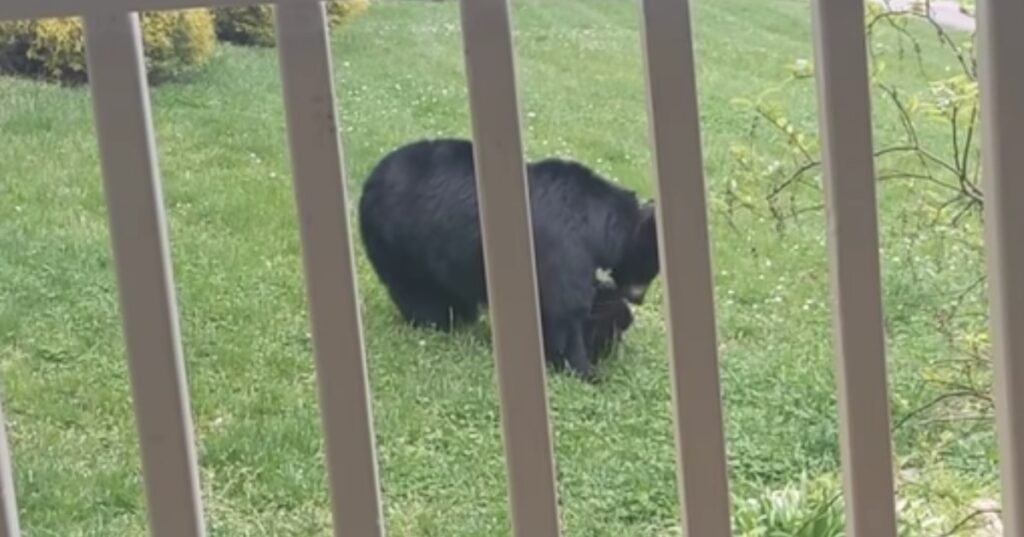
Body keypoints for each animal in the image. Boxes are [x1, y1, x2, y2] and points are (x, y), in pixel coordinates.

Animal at [360, 138, 659, 381]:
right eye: (652, 268)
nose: (639, 298)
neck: (595, 223)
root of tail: (372, 178)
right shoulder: (563, 246)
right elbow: (566, 309)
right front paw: (587, 370)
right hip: (400, 241)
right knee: (417, 292)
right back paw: (438, 322)